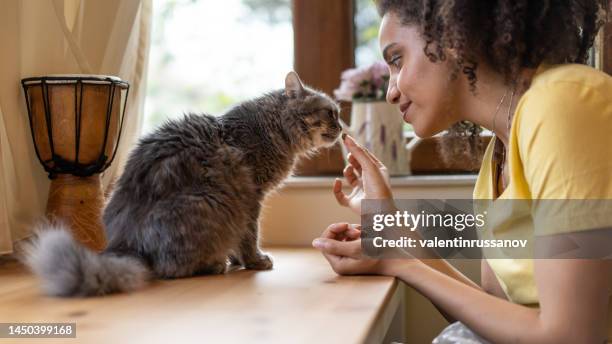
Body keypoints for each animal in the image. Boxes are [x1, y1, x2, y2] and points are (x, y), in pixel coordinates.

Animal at [23, 71, 342, 296]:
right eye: (330, 113)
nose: (342, 127)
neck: (271, 128)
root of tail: (129, 243)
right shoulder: (252, 197)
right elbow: (250, 235)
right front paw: (254, 261)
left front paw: (239, 260)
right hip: (211, 202)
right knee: (171, 269)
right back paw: (214, 265)